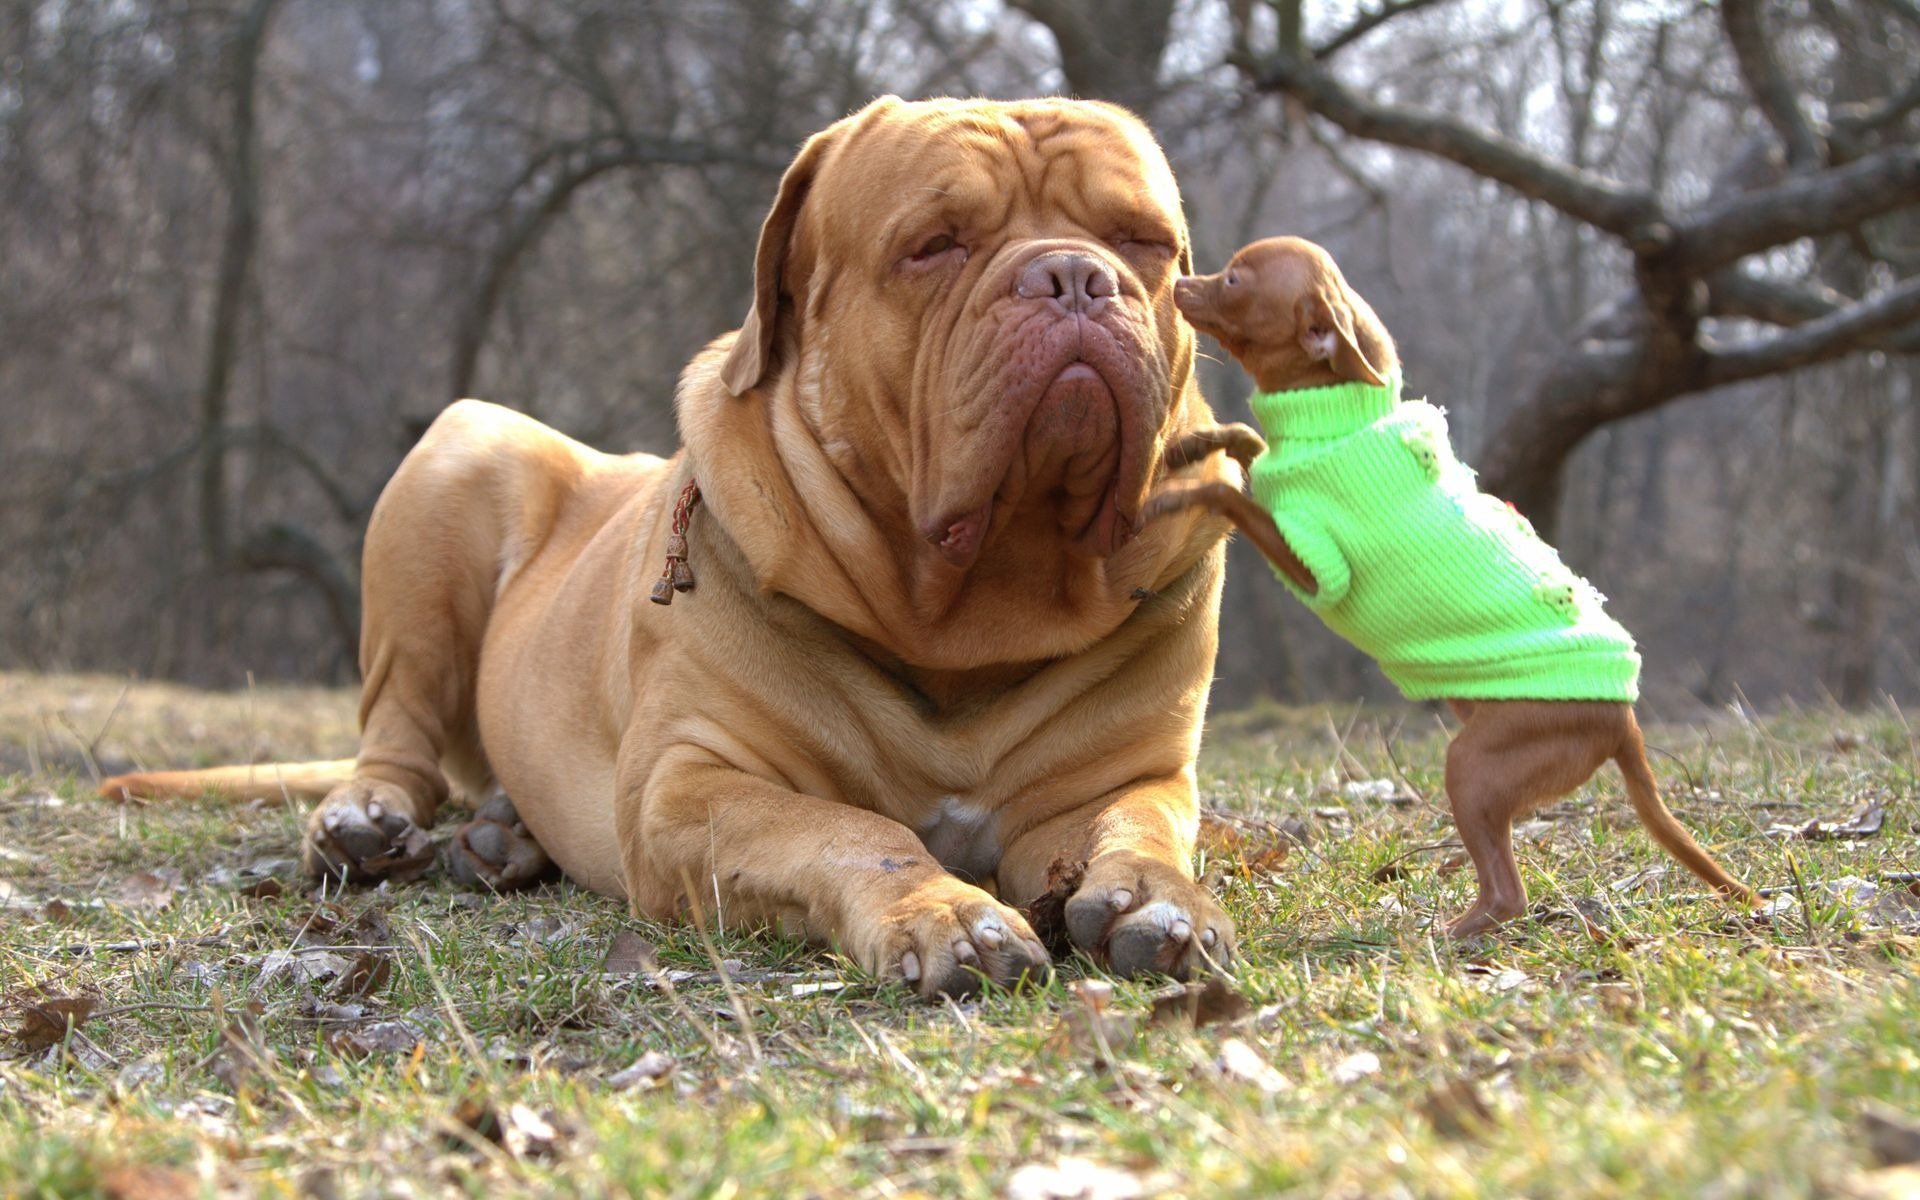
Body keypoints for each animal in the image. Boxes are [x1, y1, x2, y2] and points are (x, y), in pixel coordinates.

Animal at [105, 96, 1244, 990]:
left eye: (1145, 242)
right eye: (935, 244)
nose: (1074, 277)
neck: (971, 612)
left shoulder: (1122, 779)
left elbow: (1140, 831)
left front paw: (1160, 901)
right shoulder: (690, 788)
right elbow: (855, 832)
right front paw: (944, 912)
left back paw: (506, 837)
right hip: (460, 455)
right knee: (398, 737)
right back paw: (368, 818)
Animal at [1136, 236, 1758, 936]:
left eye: (1235, 280)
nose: (1181, 281)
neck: (1343, 419)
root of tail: (1622, 717)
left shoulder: (1317, 567)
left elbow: (1233, 496)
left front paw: (1175, 496)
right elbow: (1248, 443)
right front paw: (1192, 446)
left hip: (1473, 767)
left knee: (1508, 892)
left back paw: (1446, 935)